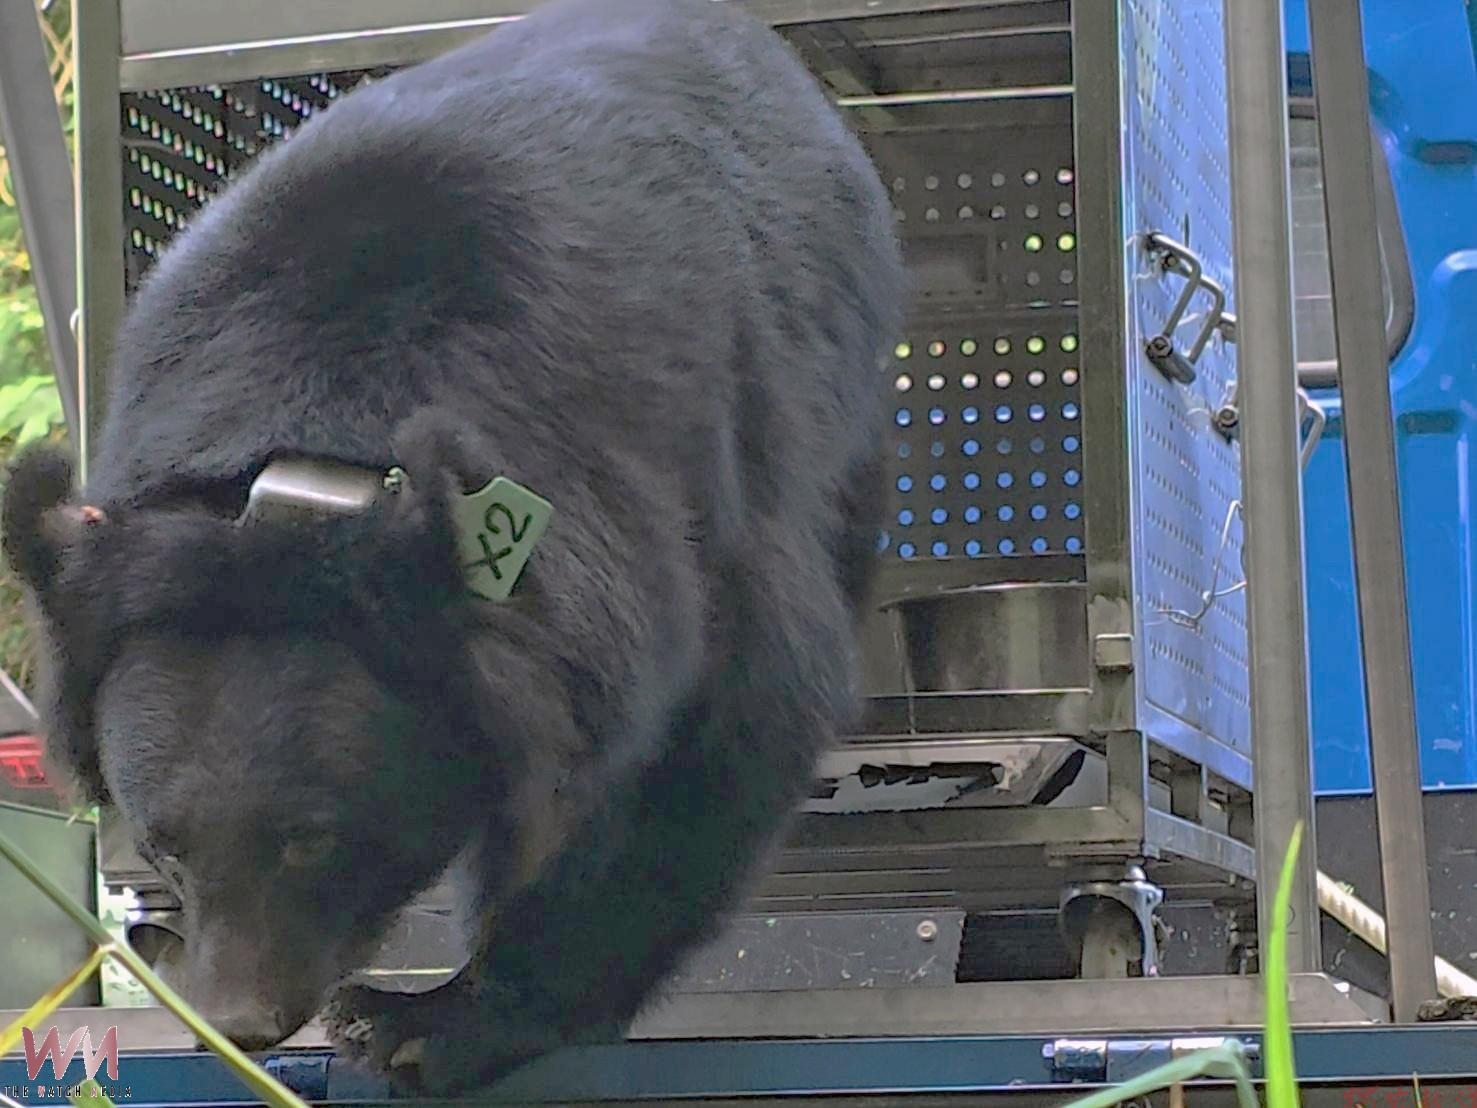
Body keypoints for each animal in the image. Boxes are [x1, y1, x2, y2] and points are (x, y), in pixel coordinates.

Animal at [1, 0, 905, 1095]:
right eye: (165, 843)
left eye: (312, 839)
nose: (241, 1022)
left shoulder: (656, 479)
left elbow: (725, 723)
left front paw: (427, 1019)